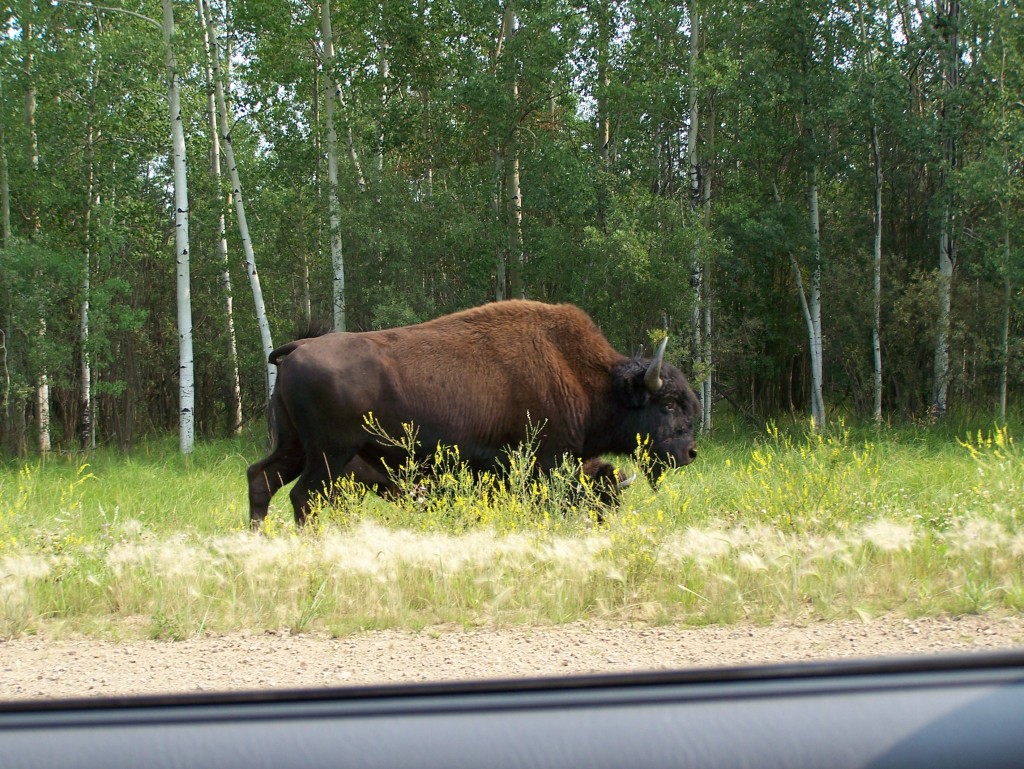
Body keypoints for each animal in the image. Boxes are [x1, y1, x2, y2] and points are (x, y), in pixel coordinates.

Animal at [247, 301, 700, 528]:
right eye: (668, 404)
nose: (691, 452)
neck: (583, 377)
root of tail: (299, 348)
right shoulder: (545, 463)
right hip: (329, 455)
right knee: (302, 497)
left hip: (295, 447)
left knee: (261, 479)